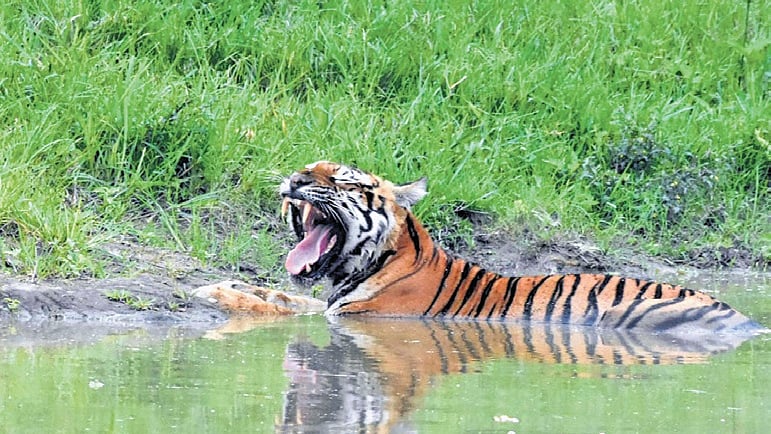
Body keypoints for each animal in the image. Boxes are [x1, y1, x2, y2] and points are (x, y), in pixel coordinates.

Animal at [194, 161, 765, 336]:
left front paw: (214, 294)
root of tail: (747, 319)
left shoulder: (363, 317)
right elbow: (287, 297)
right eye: (309, 168)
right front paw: (227, 283)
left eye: (341, 179)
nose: (293, 180)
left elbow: (286, 309)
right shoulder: (329, 304)